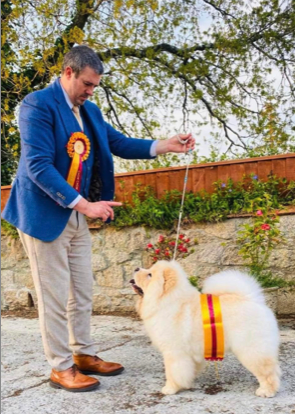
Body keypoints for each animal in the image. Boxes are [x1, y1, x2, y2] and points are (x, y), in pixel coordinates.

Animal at [130, 260, 282, 396]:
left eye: (149, 274)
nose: (136, 268)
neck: (165, 301)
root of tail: (253, 300)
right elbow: (189, 370)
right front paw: (188, 383)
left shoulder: (173, 352)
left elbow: (173, 373)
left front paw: (170, 389)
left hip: (251, 349)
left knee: (268, 372)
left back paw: (266, 391)